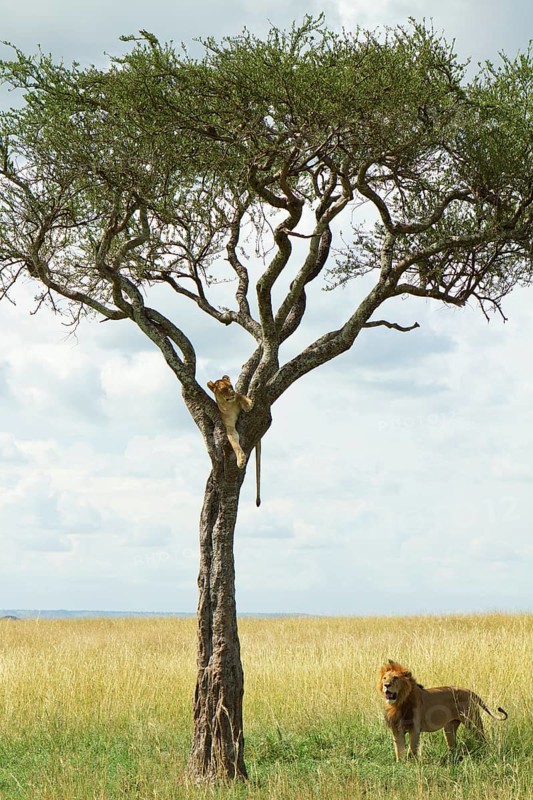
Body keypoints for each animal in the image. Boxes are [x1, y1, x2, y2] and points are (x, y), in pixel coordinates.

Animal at [207, 375, 261, 506]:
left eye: (231, 386)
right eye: (223, 389)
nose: (231, 393)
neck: (229, 405)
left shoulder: (238, 396)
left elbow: (241, 395)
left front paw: (248, 404)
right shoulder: (230, 429)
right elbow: (235, 444)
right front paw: (241, 460)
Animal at [378, 659, 508, 760]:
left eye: (395, 678)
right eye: (384, 678)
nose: (386, 685)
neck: (398, 703)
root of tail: (470, 691)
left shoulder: (414, 729)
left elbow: (411, 750)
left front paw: (410, 764)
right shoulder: (396, 729)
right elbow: (399, 750)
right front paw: (400, 764)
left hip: (472, 721)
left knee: (482, 737)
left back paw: (483, 752)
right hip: (450, 727)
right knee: (453, 746)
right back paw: (451, 759)